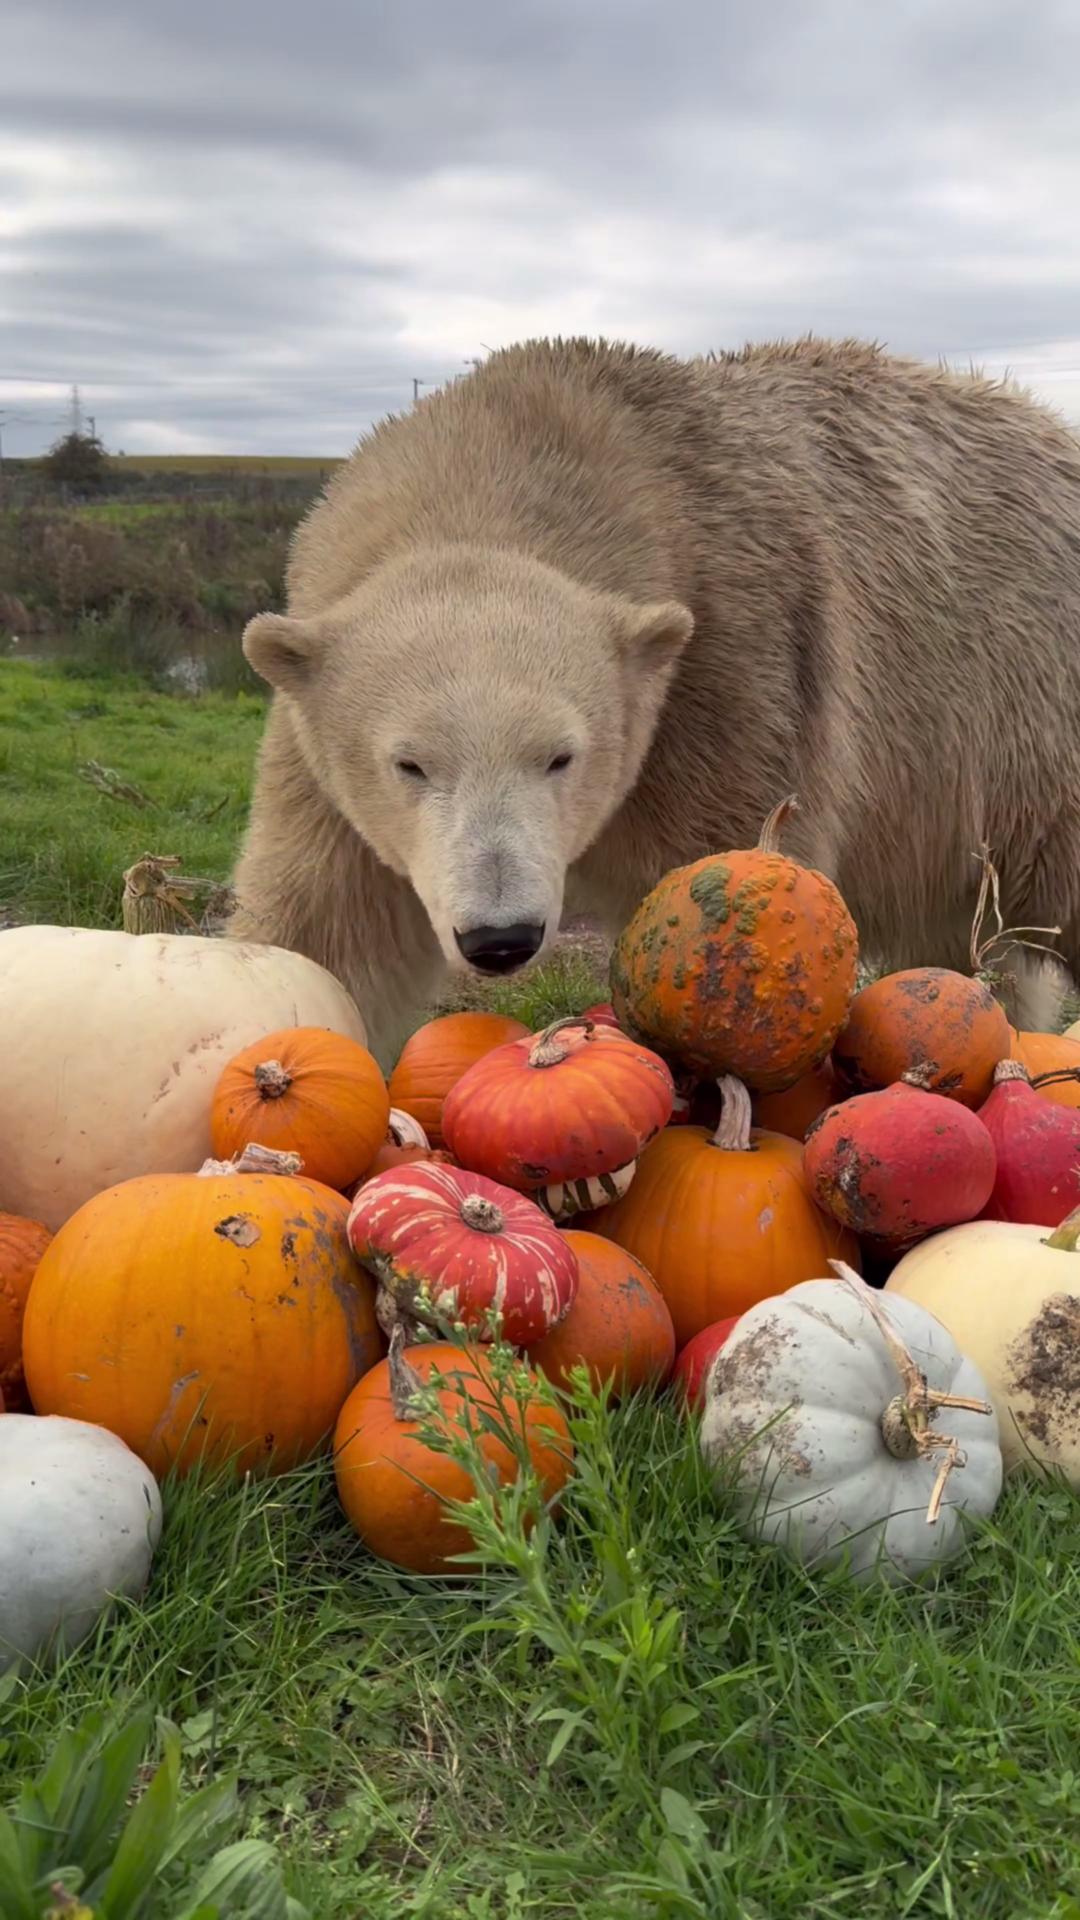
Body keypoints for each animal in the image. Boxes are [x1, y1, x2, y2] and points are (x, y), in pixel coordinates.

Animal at [229, 335, 1080, 1068]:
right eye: (409, 764)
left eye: (561, 757)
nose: (501, 937)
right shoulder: (314, 735)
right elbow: (331, 932)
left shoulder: (731, 680)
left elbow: (724, 889)